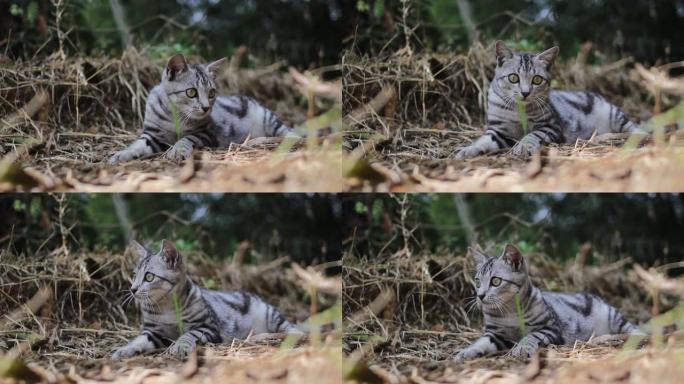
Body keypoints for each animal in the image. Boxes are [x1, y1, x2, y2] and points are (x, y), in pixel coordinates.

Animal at [109, 52, 296, 164]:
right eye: (191, 92)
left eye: (212, 92)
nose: (206, 107)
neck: (175, 116)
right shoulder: (152, 135)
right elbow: (137, 145)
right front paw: (120, 155)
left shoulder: (206, 133)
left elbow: (186, 139)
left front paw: (177, 150)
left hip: (268, 119)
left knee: (289, 132)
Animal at [112, 240, 300, 360]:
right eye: (134, 275)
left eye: (149, 277)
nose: (133, 289)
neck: (167, 307)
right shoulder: (153, 333)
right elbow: (138, 341)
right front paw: (124, 350)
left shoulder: (208, 327)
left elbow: (188, 334)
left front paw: (180, 347)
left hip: (270, 314)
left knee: (292, 327)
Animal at [454, 42, 640, 160]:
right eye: (513, 78)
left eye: (537, 80)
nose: (525, 93)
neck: (519, 111)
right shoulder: (498, 131)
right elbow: (482, 141)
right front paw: (467, 150)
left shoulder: (550, 126)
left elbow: (531, 135)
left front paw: (523, 147)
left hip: (614, 114)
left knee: (635, 127)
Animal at [454, 244, 640, 362]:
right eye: (477, 282)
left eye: (496, 281)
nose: (480, 296)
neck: (509, 311)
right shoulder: (496, 335)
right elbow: (480, 342)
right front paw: (466, 352)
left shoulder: (550, 328)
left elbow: (530, 336)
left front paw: (522, 349)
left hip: (613, 317)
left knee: (634, 329)